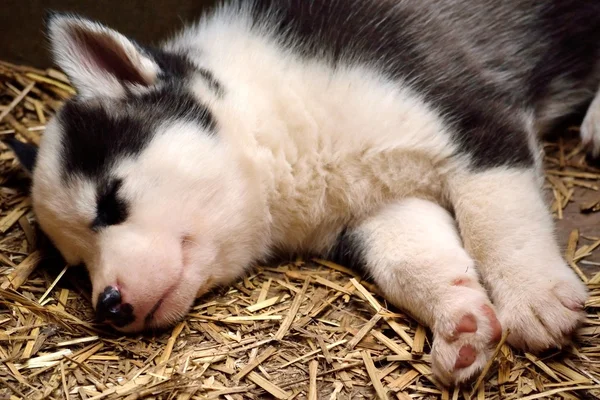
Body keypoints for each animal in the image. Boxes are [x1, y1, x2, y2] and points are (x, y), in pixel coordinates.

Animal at [8, 0, 596, 386]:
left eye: (109, 203)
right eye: (77, 264)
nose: (108, 306)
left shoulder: (473, 120)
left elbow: (497, 216)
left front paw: (532, 296)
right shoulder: (378, 209)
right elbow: (411, 261)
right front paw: (461, 321)